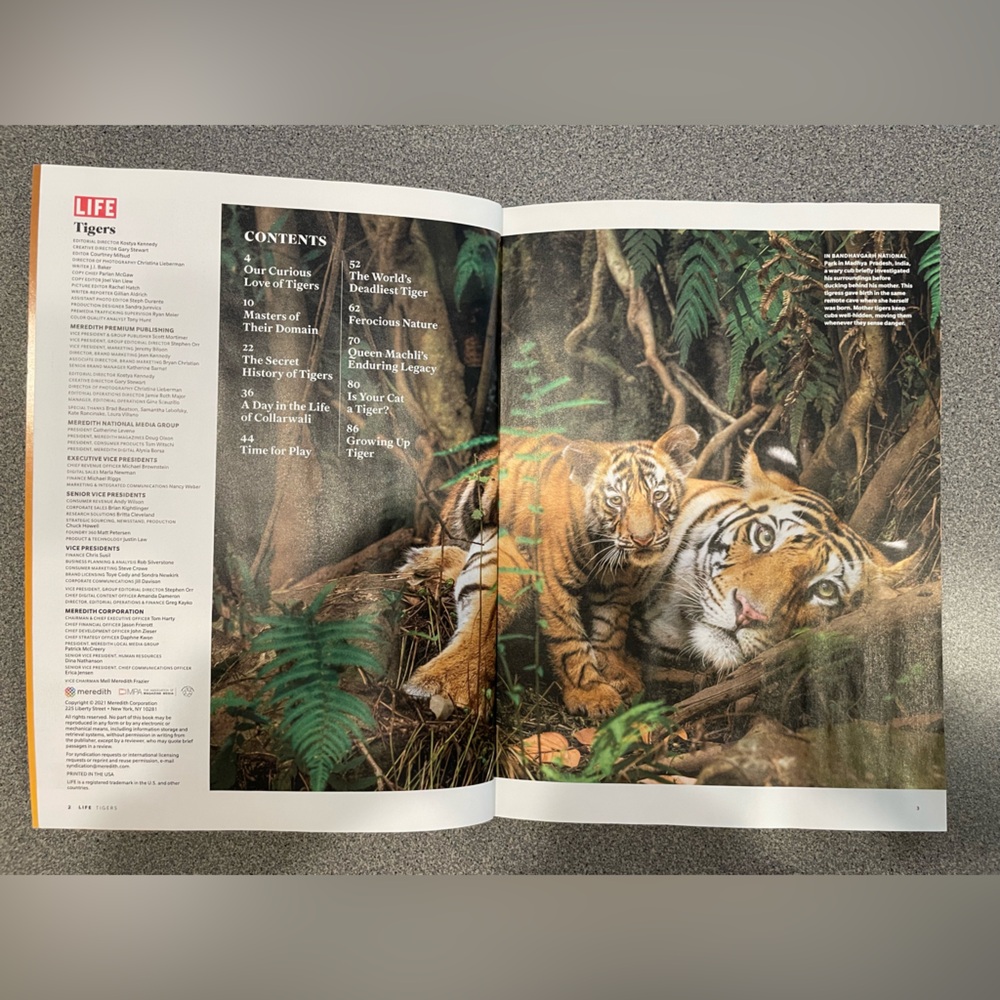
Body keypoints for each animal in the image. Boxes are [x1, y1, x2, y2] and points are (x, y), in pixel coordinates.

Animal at [400, 425, 700, 716]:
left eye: (658, 496)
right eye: (616, 500)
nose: (643, 539)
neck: (604, 550)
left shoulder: (615, 587)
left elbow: (612, 629)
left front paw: (617, 672)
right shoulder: (555, 586)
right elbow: (568, 641)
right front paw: (593, 695)